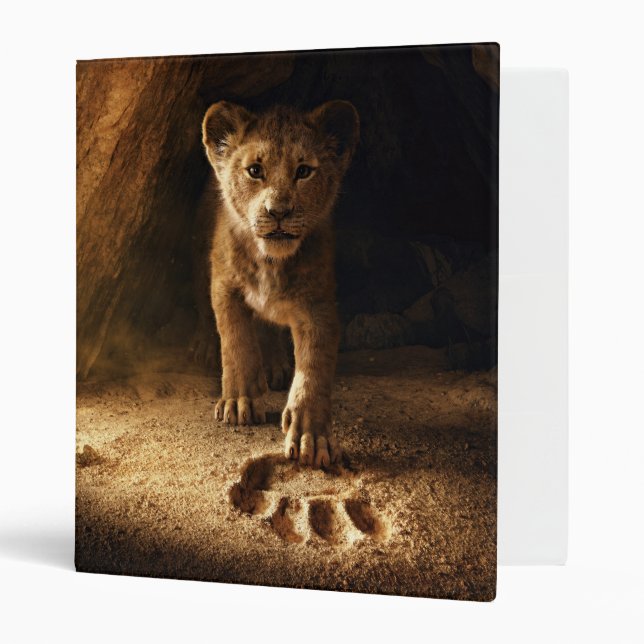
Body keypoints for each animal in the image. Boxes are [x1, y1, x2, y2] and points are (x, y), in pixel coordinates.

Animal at [201, 100, 360, 468]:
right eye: (254, 170)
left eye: (303, 171)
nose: (278, 212)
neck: (271, 262)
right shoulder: (224, 287)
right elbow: (236, 342)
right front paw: (239, 401)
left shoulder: (318, 305)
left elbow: (314, 367)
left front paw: (311, 436)